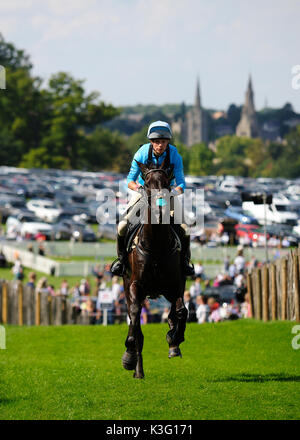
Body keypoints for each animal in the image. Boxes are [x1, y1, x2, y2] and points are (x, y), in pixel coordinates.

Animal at [121, 160, 188, 380]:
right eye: (148, 183)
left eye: (167, 183)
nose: (160, 209)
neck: (157, 244)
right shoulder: (135, 285)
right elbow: (135, 319)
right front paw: (130, 357)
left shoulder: (175, 286)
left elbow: (182, 311)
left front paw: (174, 339)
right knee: (135, 322)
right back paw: (135, 367)